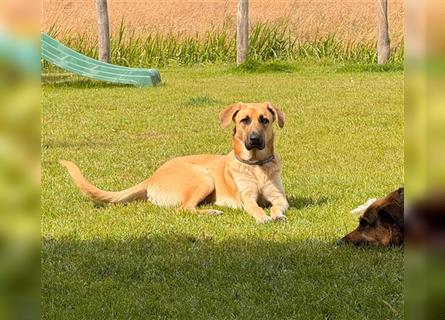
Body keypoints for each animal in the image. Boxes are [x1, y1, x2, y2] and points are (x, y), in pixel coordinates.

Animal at [59, 102, 288, 222]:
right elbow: (256, 208)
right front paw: (263, 216)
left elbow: (278, 206)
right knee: (184, 209)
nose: (255, 139)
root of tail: (152, 176)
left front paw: (276, 214)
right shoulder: (247, 198)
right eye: (245, 120)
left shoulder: (279, 197)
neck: (257, 166)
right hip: (203, 180)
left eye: (264, 120)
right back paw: (212, 211)